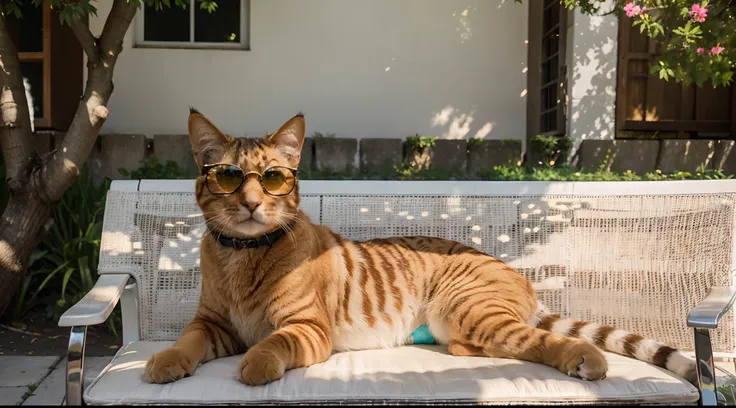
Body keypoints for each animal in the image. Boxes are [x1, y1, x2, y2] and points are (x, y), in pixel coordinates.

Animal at [142, 110, 696, 388]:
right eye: (229, 178)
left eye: (274, 178)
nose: (253, 203)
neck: (242, 252)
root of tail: (516, 274)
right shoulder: (211, 324)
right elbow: (186, 342)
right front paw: (165, 361)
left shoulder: (307, 328)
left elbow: (272, 344)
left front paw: (256, 365)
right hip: (464, 322)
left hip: (470, 308)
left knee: (541, 342)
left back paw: (586, 360)